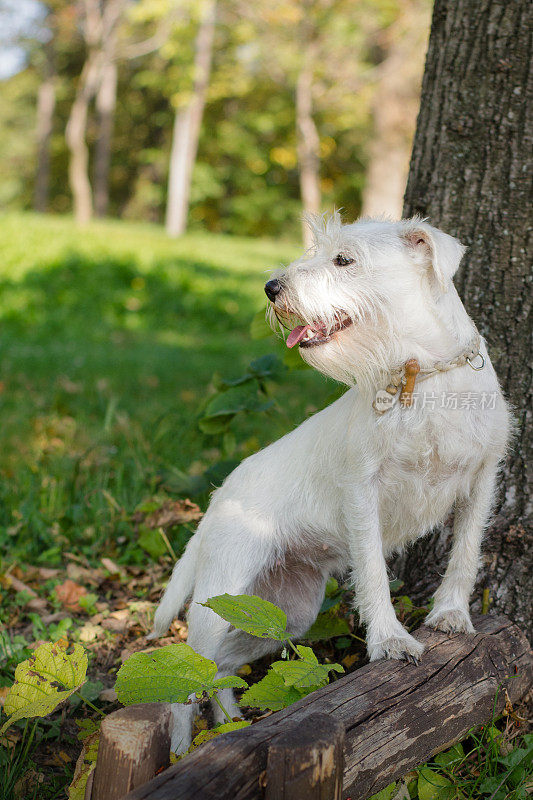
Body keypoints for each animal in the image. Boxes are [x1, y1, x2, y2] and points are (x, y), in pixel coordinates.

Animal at [152, 212, 510, 752]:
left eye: (344, 259)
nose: (271, 288)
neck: (422, 374)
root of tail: (218, 499)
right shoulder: (363, 493)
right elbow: (374, 574)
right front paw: (390, 641)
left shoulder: (481, 480)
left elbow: (466, 552)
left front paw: (451, 615)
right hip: (219, 603)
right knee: (189, 680)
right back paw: (180, 750)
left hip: (283, 613)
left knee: (221, 673)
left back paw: (231, 727)